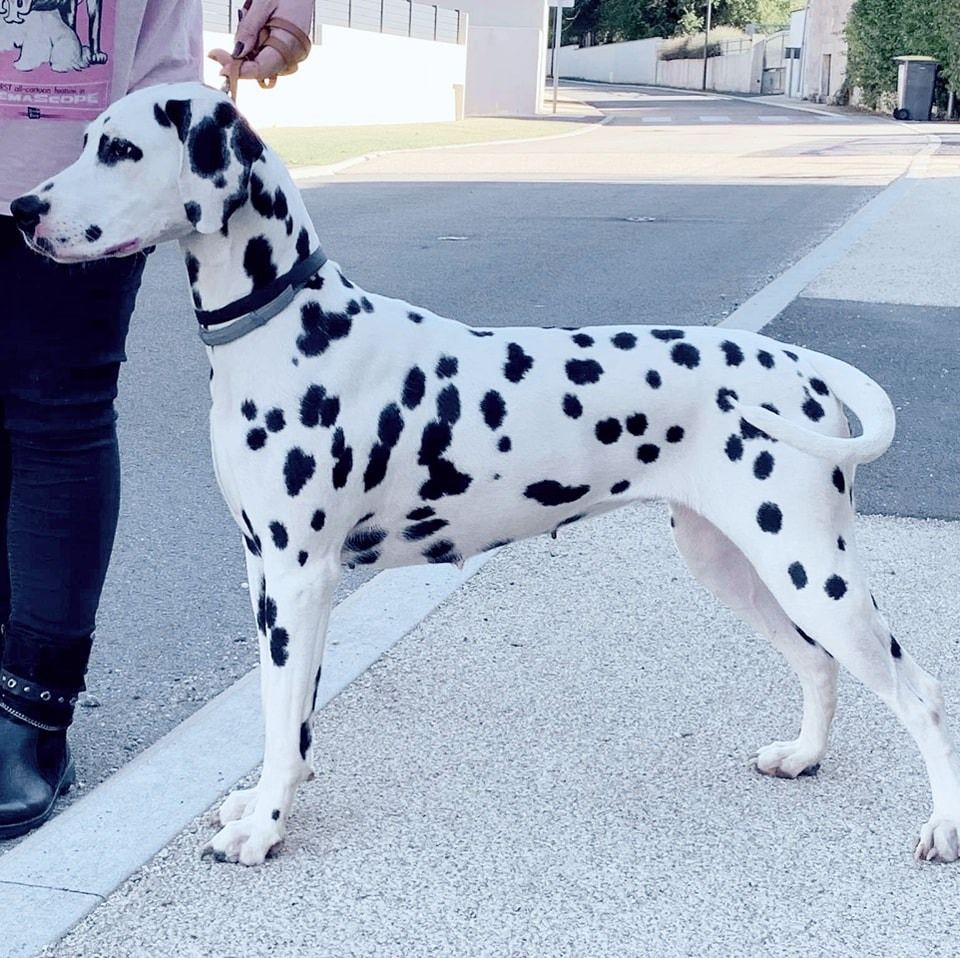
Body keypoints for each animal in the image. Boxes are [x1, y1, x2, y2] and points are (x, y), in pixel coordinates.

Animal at [13, 82, 960, 868]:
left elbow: (283, 719)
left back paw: (941, 829)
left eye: (120, 148)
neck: (291, 326)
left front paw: (267, 828)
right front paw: (268, 801)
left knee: (920, 692)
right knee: (817, 664)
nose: (22, 207)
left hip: (812, 570)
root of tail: (800, 364)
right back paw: (803, 756)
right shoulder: (272, 576)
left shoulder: (296, 577)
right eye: (88, 139)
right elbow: (292, 716)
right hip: (735, 563)